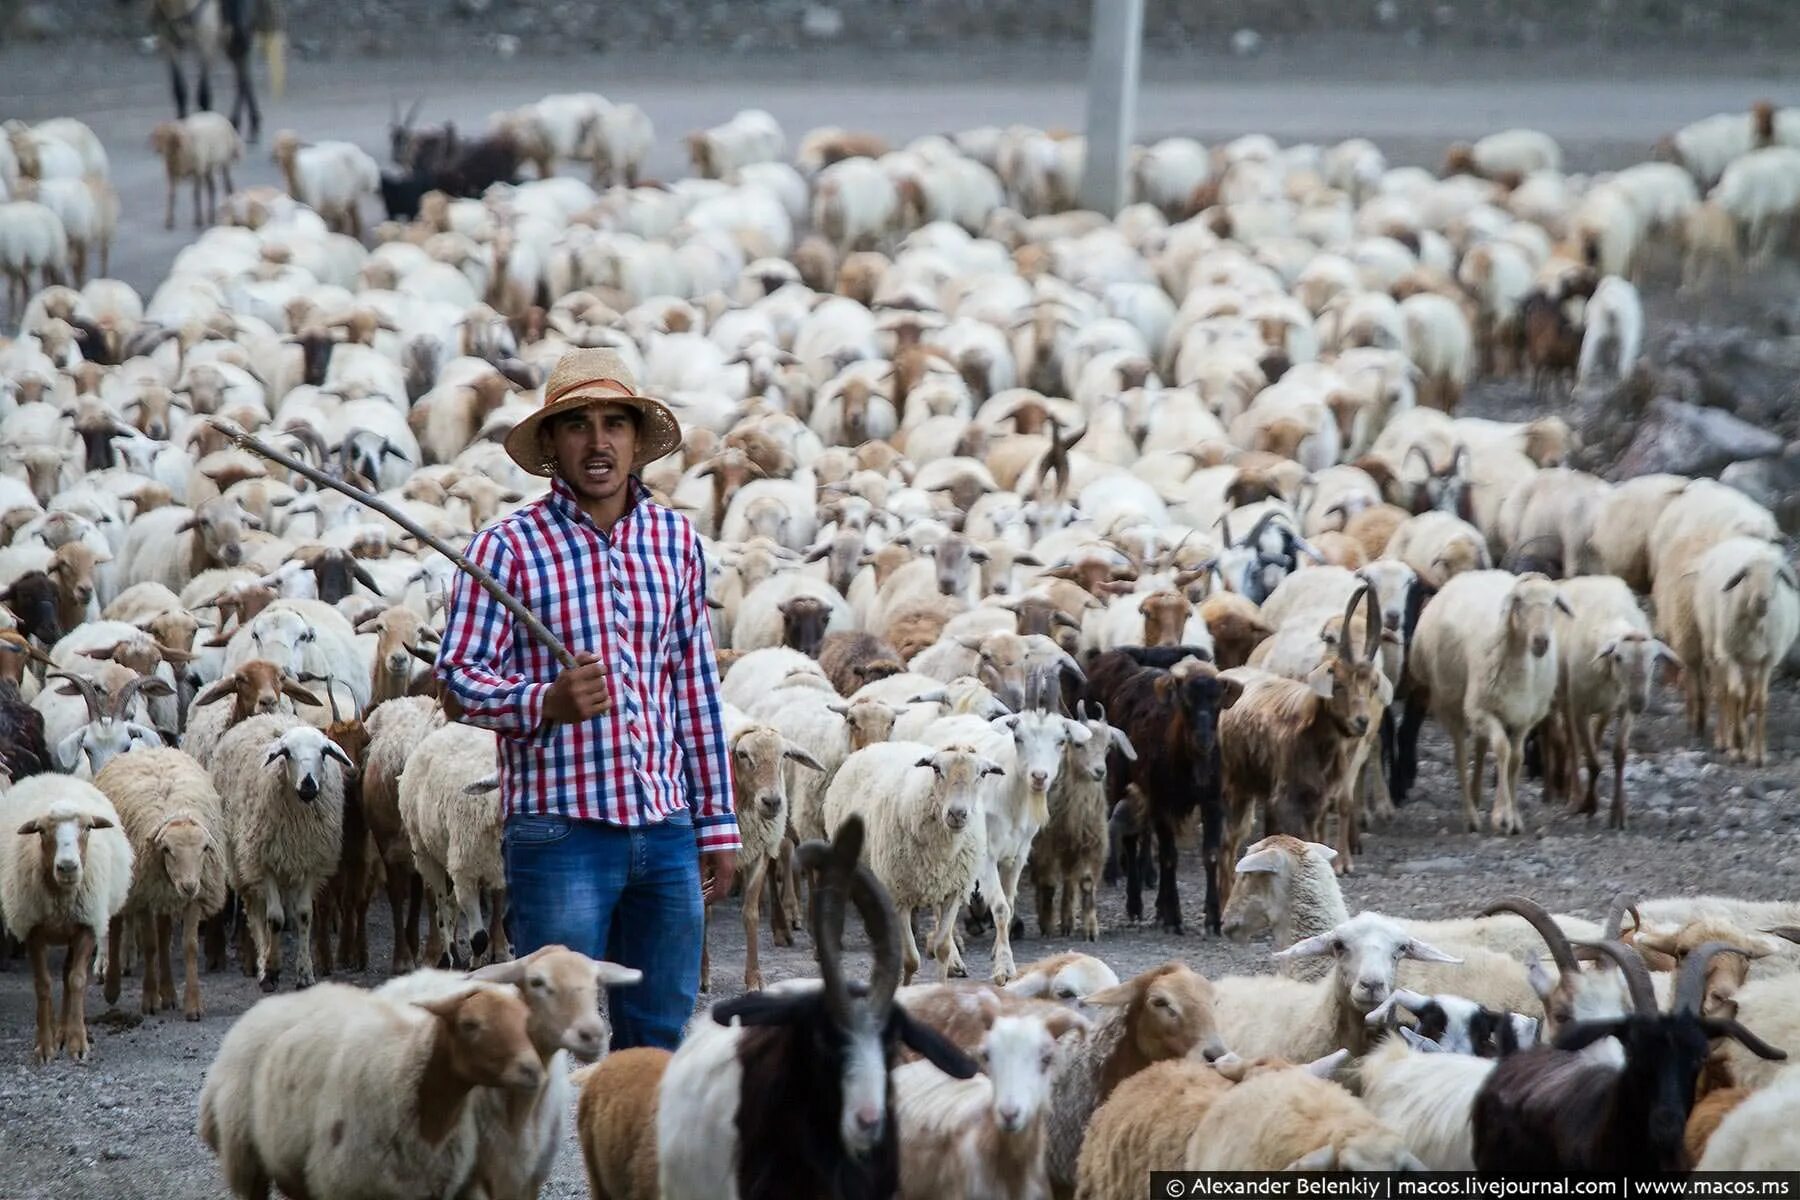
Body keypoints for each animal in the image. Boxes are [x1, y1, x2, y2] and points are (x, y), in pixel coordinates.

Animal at [0, 784, 131, 1065]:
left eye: (88, 827)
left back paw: (63, 1031)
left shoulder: (86, 926)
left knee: (68, 975)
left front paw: (77, 1042)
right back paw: (54, 1031)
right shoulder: (33, 928)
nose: (68, 867)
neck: (61, 898)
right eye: (41, 830)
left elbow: (76, 980)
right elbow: (43, 984)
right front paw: (44, 1045)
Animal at [208, 719, 349, 993]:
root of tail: (259, 717)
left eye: (323, 753)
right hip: (242, 860)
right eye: (287, 753)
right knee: (256, 911)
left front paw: (305, 973)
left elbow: (304, 914)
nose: (308, 784)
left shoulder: (311, 862)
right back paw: (263, 962)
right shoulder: (265, 864)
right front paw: (271, 971)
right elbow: (274, 919)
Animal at [1080, 647, 1238, 935]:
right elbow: (1169, 858)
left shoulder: (1212, 802)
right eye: (1185, 703)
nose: (1204, 739)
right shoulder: (1163, 801)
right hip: (1120, 782)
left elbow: (1210, 855)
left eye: (1218, 703)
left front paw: (1212, 918)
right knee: (1131, 840)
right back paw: (1135, 904)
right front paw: (1174, 916)